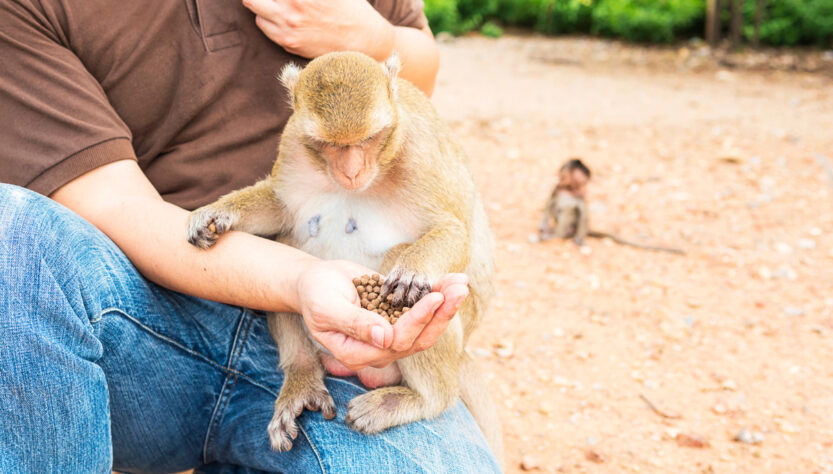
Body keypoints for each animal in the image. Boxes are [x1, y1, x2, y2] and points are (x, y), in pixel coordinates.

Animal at [185, 51, 504, 462]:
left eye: (368, 139)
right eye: (327, 144)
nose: (351, 172)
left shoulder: (418, 153)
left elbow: (455, 231)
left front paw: (413, 271)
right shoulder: (294, 142)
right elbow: (280, 209)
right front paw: (218, 212)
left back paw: (422, 400)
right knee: (288, 243)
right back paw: (302, 374)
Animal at [536, 158, 684, 256]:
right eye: (582, 182)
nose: (584, 189)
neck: (568, 189)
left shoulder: (580, 196)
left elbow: (582, 211)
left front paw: (579, 240)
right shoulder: (557, 188)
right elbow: (550, 202)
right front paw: (543, 226)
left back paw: (556, 234)